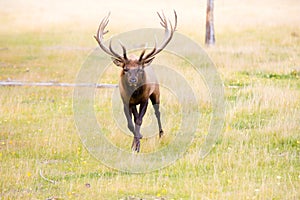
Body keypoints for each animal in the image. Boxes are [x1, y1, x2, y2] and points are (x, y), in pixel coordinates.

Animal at [94, 10, 176, 152]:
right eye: (125, 69)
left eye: (139, 69)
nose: (133, 80)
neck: (135, 94)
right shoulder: (126, 101)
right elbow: (130, 123)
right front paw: (136, 141)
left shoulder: (144, 99)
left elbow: (139, 121)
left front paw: (137, 146)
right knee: (136, 117)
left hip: (156, 92)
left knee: (157, 112)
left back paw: (161, 134)